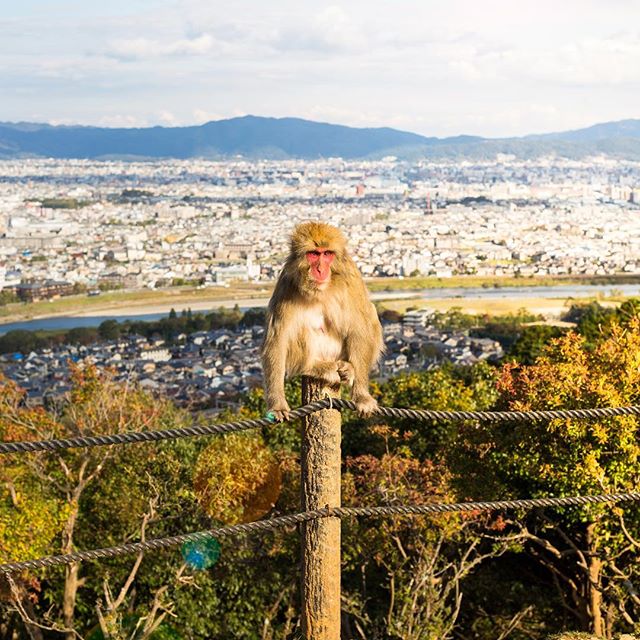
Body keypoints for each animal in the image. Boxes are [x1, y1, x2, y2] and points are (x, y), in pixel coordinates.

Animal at [262, 220, 382, 420]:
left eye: (327, 254)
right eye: (313, 254)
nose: (320, 269)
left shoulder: (352, 280)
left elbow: (359, 328)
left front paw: (361, 397)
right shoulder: (286, 285)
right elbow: (278, 339)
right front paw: (277, 404)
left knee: (370, 313)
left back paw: (349, 369)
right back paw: (315, 367)